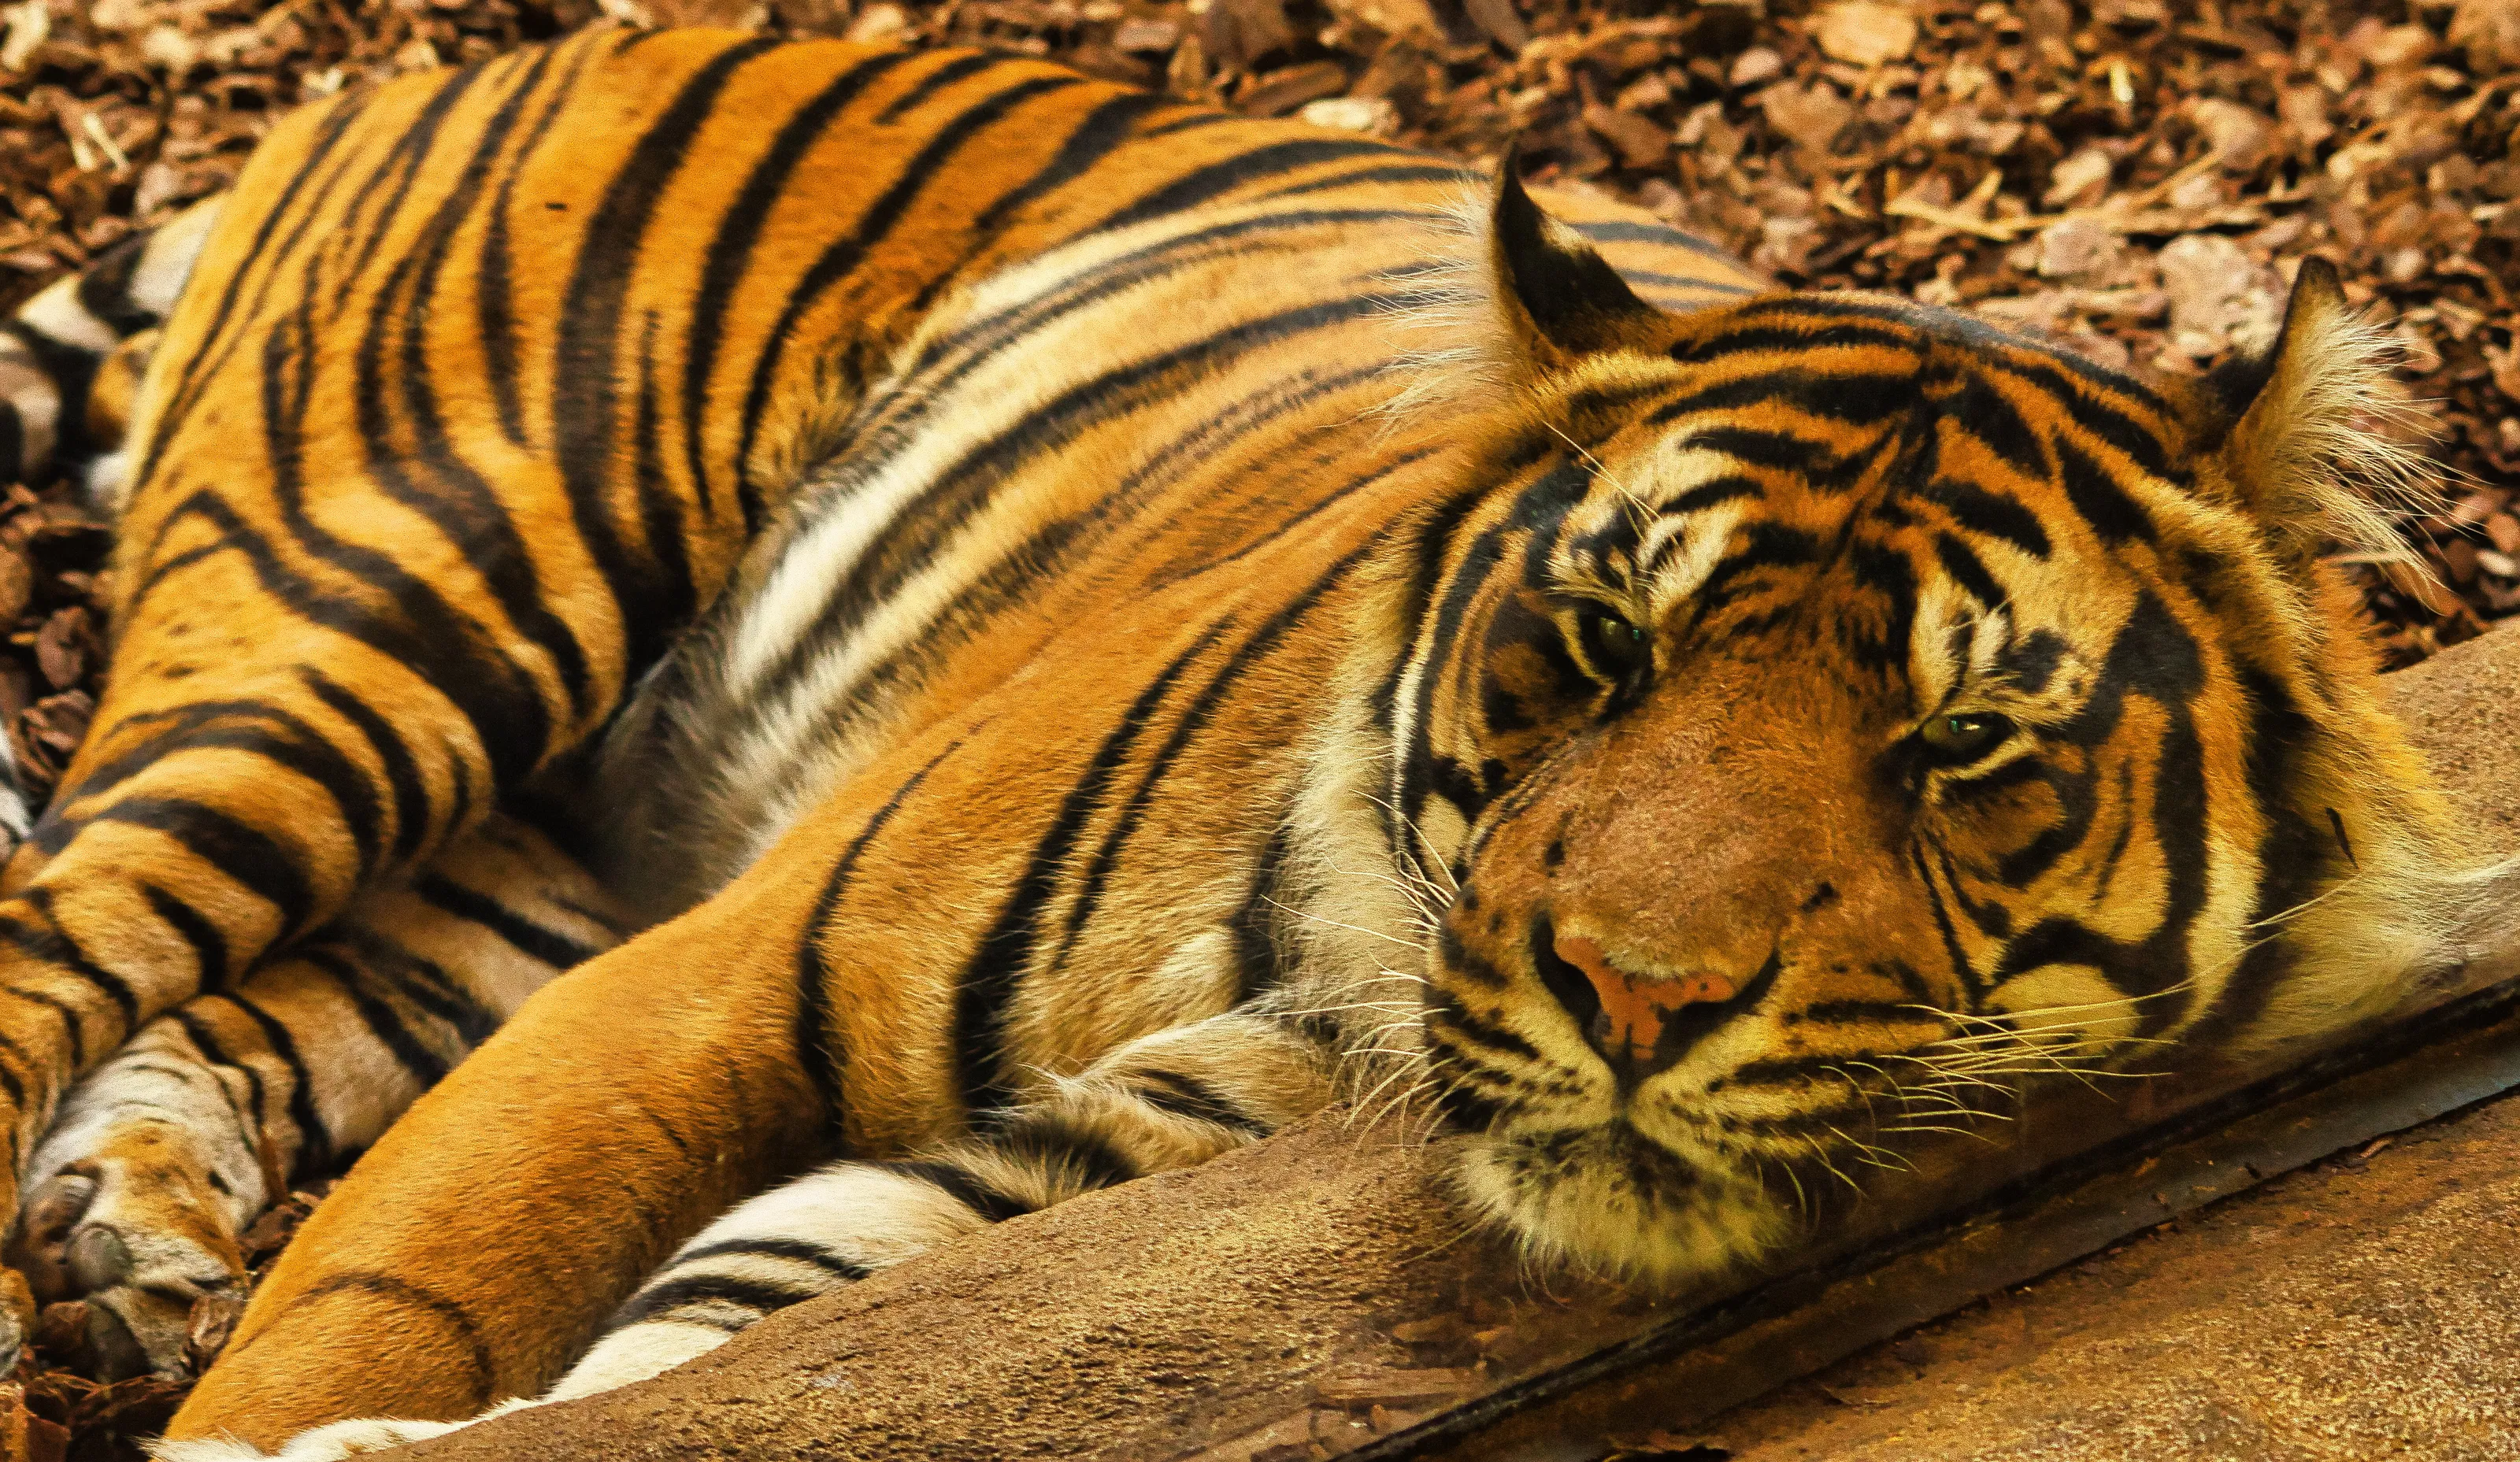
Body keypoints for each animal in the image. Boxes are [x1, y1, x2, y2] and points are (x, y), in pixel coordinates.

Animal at [0, 24, 2493, 1458]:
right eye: (1602, 641)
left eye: (1962, 742)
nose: (1638, 1002)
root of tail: (420, 75)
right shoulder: (709, 981)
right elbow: (399, 1289)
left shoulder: (1085, 1171)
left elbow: (734, 1320)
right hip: (392, 613)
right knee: (73, 919)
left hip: (517, 853)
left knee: (288, 985)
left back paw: (126, 1226)